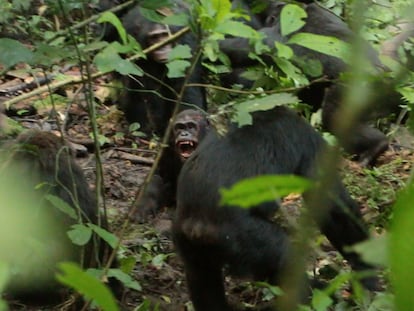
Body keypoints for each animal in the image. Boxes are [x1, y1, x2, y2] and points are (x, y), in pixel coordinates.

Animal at [173, 107, 376, 311]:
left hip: (188, 242)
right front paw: (368, 275)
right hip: (244, 235)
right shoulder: (308, 139)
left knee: (201, 277)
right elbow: (334, 206)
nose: (184, 133)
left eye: (190, 126)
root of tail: (197, 225)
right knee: (286, 260)